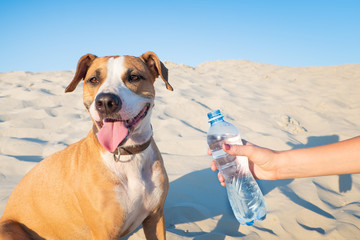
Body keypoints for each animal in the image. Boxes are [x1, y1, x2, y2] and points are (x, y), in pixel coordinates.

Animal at [0, 51, 174, 239]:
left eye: (134, 77)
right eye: (94, 80)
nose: (105, 102)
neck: (128, 154)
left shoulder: (155, 218)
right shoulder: (103, 231)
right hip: (8, 229)